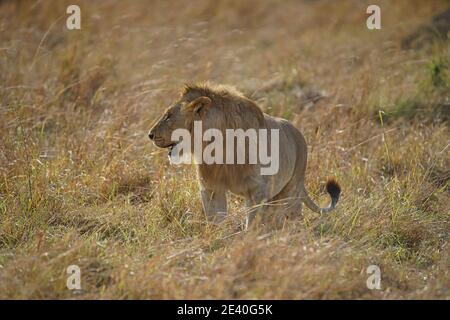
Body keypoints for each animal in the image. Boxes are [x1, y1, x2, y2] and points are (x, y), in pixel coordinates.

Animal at [149, 82, 342, 228]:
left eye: (168, 116)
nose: (150, 134)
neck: (216, 149)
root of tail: (299, 133)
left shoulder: (256, 190)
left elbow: (253, 222)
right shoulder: (211, 188)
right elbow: (215, 219)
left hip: (291, 189)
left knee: (292, 215)